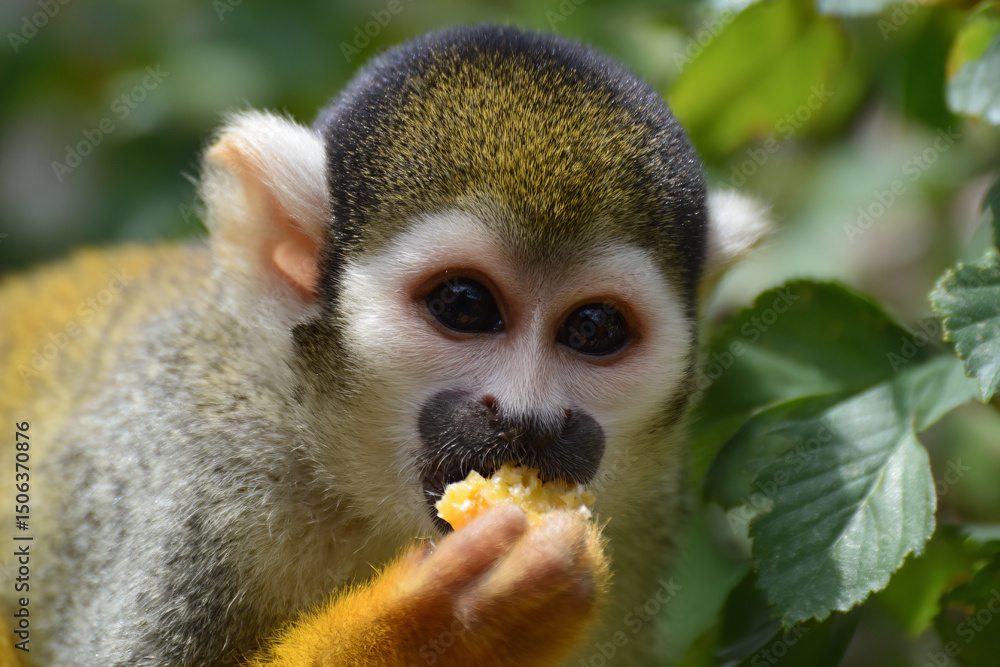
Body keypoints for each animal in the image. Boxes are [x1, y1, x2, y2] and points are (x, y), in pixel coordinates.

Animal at [0, 24, 768, 667]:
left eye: (594, 329)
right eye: (465, 305)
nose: (530, 420)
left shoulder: (643, 509)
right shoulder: (189, 474)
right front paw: (454, 624)